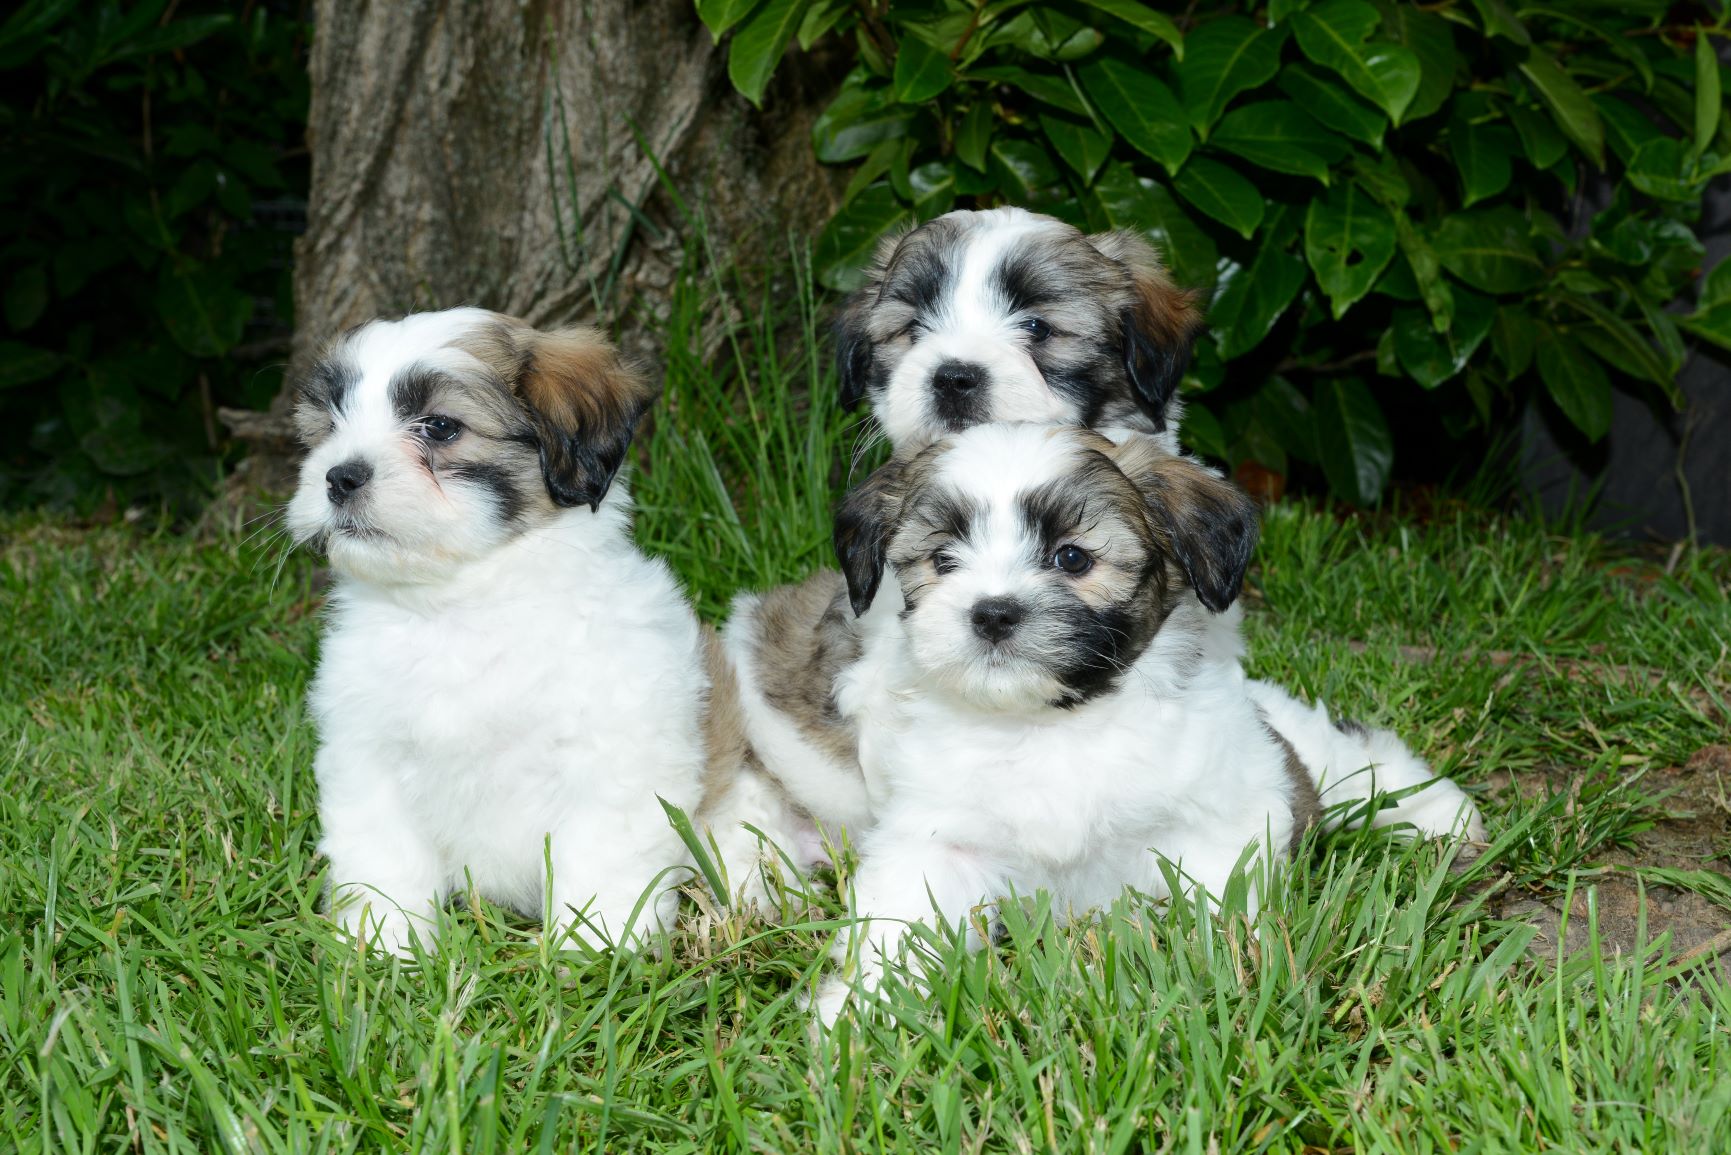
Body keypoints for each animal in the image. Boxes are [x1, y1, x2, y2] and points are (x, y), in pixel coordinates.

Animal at [285, 309, 796, 955]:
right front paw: (382, 946)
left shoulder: (616, 759)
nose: (339, 477)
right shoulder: (367, 755)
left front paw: (596, 951)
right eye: (329, 427)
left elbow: (601, 858)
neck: (462, 605)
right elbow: (383, 855)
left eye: (441, 427)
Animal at [806, 424, 1474, 1018]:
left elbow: (1220, 908)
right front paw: (858, 1020)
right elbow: (899, 926)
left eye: (1072, 557)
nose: (992, 613)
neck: (1050, 726)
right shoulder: (937, 839)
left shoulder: (1214, 822)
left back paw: (1443, 812)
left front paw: (1228, 985)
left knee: (1350, 758)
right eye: (943, 559)